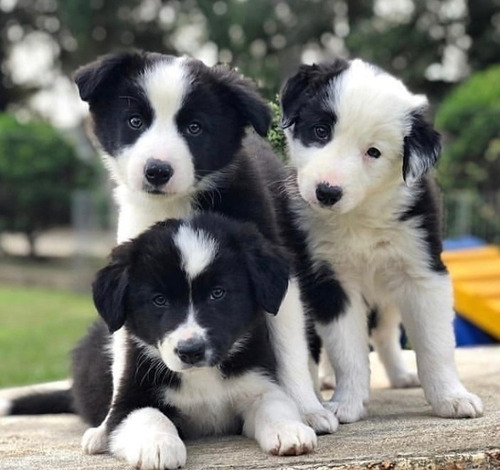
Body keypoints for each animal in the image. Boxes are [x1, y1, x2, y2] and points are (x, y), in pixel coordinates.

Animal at [71, 51, 336, 434]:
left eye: (194, 128)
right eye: (134, 121)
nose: (157, 171)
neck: (180, 201)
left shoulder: (275, 264)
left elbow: (289, 344)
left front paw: (305, 409)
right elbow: (125, 346)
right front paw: (110, 424)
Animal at [280, 57, 482, 422]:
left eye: (373, 152)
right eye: (321, 131)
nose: (326, 192)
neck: (359, 216)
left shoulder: (421, 271)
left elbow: (435, 344)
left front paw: (451, 397)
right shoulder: (329, 280)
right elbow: (347, 349)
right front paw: (346, 403)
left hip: (389, 293)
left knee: (386, 333)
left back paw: (402, 376)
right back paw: (327, 380)